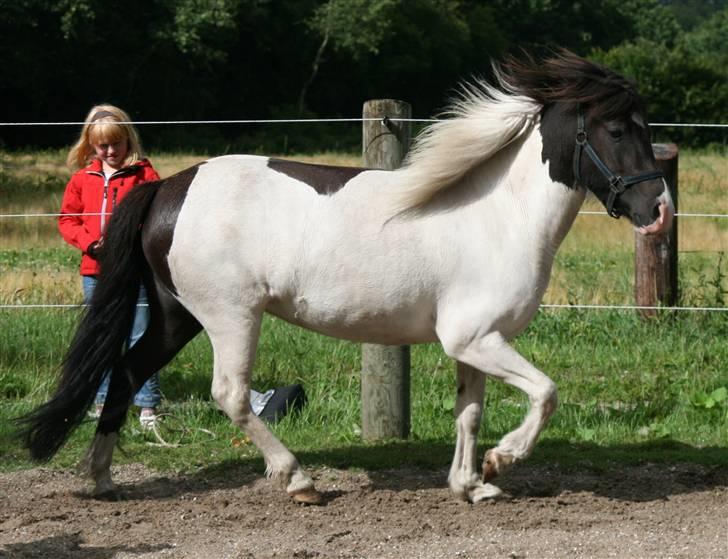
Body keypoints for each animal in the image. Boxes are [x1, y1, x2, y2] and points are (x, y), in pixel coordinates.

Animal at [18, 51, 676, 504]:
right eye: (618, 130)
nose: (659, 211)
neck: (499, 216)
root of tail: (166, 188)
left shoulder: (472, 343)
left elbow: (469, 412)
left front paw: (471, 484)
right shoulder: (478, 338)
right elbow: (545, 393)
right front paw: (500, 462)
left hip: (175, 315)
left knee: (126, 372)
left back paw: (101, 479)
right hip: (230, 315)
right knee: (229, 394)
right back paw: (298, 480)